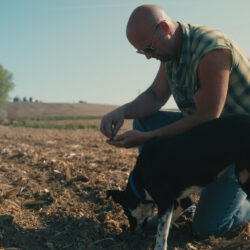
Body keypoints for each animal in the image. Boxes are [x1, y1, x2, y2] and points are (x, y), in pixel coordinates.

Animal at [107, 114, 250, 249]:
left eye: (125, 212)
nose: (131, 231)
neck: (139, 183)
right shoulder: (175, 198)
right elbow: (172, 217)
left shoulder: (165, 201)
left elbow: (162, 232)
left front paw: (159, 246)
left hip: (244, 176)